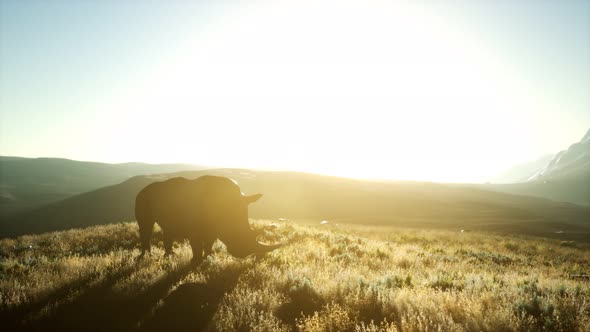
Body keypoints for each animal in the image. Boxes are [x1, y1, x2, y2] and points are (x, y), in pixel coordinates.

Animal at [135, 176, 280, 262]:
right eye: (234, 234)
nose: (242, 254)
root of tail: (142, 189)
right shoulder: (194, 228)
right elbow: (196, 245)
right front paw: (196, 261)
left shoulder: (214, 228)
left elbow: (209, 243)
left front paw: (209, 258)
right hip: (142, 197)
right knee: (146, 226)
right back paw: (145, 257)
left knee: (168, 227)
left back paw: (169, 256)